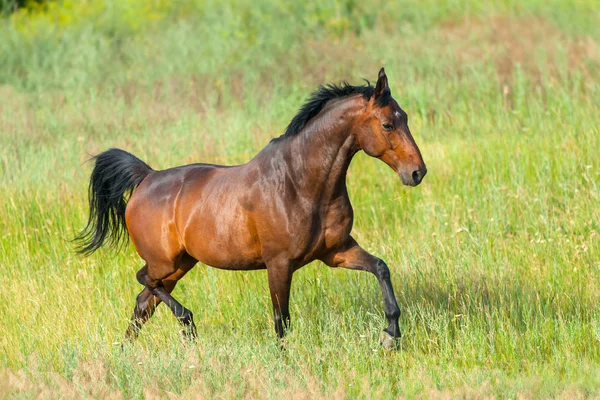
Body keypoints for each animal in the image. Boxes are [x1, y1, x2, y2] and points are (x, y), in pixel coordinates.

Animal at [76, 69, 426, 350]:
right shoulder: (279, 265)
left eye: (405, 118)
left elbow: (381, 268)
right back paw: (188, 324)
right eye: (387, 124)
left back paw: (128, 353)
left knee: (143, 304)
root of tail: (146, 177)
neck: (299, 182)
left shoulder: (337, 251)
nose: (417, 172)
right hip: (165, 262)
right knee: (143, 281)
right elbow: (282, 321)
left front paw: (390, 335)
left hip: (180, 265)